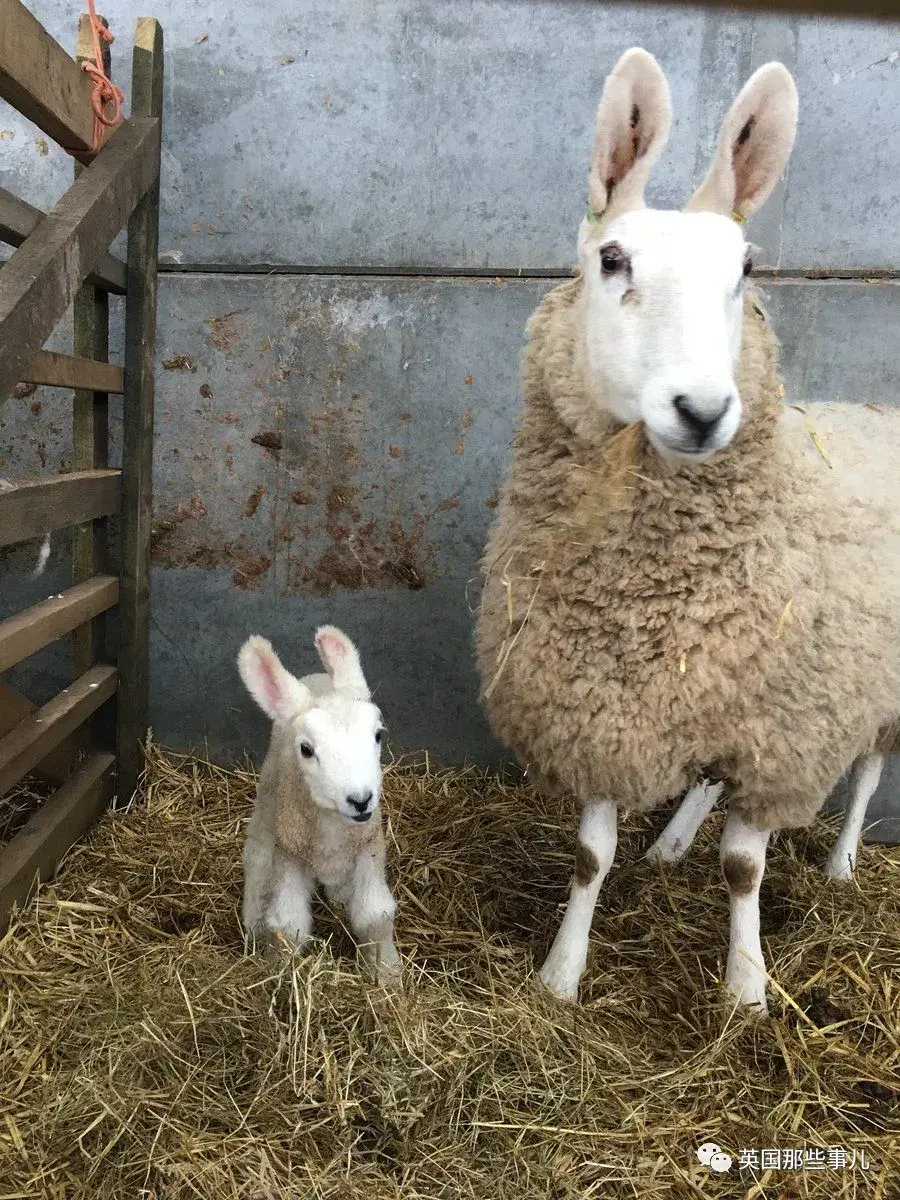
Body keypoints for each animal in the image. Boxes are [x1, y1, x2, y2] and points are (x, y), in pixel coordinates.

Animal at [237, 624, 400, 979]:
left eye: (378, 735)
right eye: (306, 750)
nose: (360, 800)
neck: (332, 830)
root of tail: (315, 677)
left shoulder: (370, 847)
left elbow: (375, 916)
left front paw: (388, 973)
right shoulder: (289, 854)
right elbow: (287, 925)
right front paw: (280, 973)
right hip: (269, 796)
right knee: (257, 853)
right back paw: (252, 918)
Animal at [475, 51, 897, 1017]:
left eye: (744, 268)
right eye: (612, 257)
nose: (703, 411)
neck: (654, 597)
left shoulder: (783, 732)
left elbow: (744, 869)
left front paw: (747, 990)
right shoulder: (603, 708)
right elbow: (590, 855)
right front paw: (561, 974)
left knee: (867, 770)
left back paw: (843, 861)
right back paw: (671, 844)